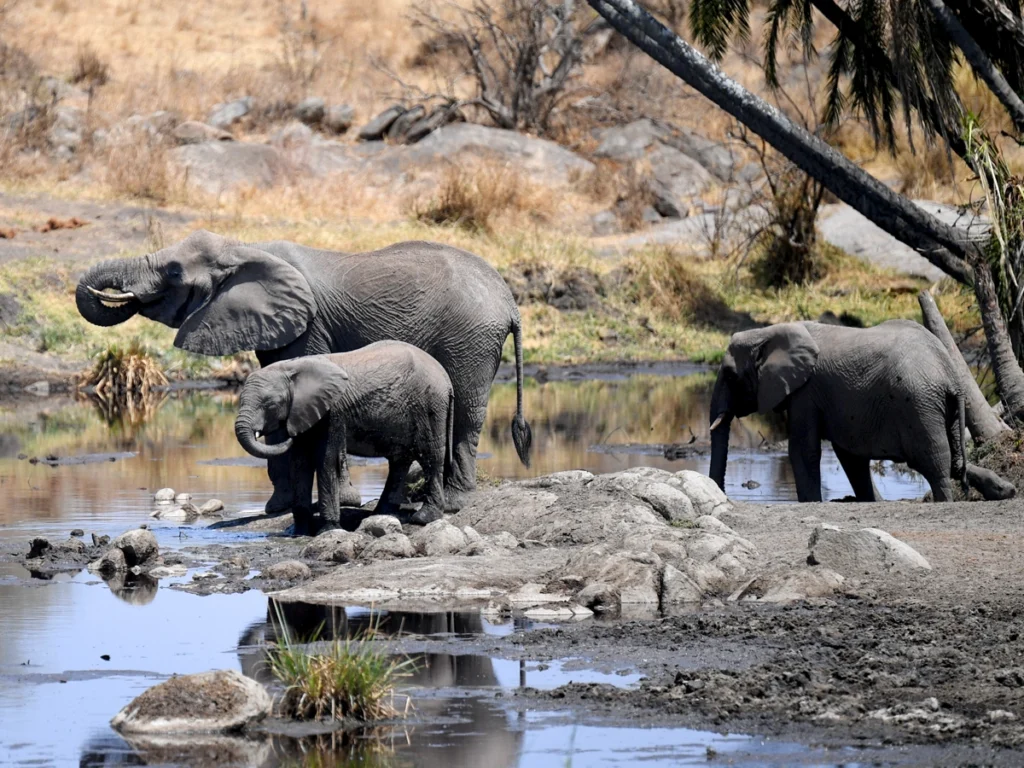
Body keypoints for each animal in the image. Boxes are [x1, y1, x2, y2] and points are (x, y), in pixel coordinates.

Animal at [75, 231, 532, 514]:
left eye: (172, 271)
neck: (245, 247)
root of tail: (509, 301)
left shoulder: (310, 323)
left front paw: (341, 502)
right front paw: (278, 507)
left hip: (470, 338)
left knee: (467, 409)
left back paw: (455, 497)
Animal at [237, 342, 454, 536]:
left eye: (270, 403)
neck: (292, 368)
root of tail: (447, 379)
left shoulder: (333, 412)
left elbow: (327, 461)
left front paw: (328, 530)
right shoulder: (303, 412)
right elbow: (300, 463)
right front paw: (298, 533)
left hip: (430, 406)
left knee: (431, 457)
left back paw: (423, 518)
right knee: (400, 462)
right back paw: (380, 515)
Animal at [712, 319, 966, 505]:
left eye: (731, 376)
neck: (767, 332)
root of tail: (950, 374)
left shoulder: (806, 392)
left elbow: (802, 450)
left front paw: (811, 503)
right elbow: (850, 457)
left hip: (919, 404)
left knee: (935, 462)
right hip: (942, 410)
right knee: (954, 463)